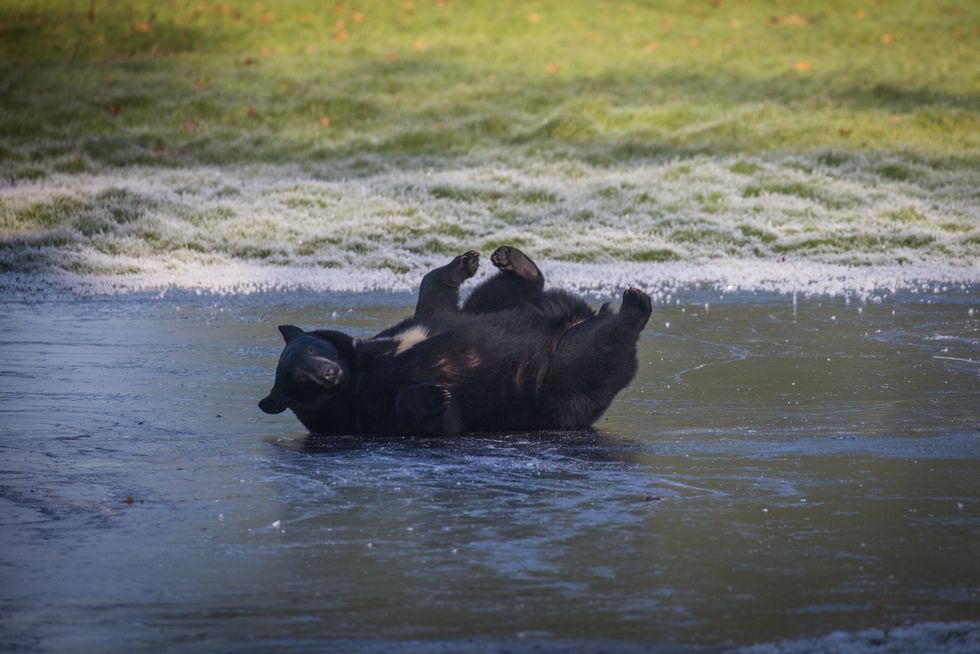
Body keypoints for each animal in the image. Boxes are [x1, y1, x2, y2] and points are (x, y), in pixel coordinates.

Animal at [260, 246, 652, 436]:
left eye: (314, 349)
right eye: (300, 379)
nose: (328, 373)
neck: (359, 371)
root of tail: (579, 318)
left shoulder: (410, 328)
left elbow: (434, 299)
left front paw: (463, 263)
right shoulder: (365, 411)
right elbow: (435, 420)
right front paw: (435, 394)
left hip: (514, 310)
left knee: (500, 295)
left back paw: (512, 259)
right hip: (562, 377)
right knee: (602, 348)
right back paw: (635, 305)